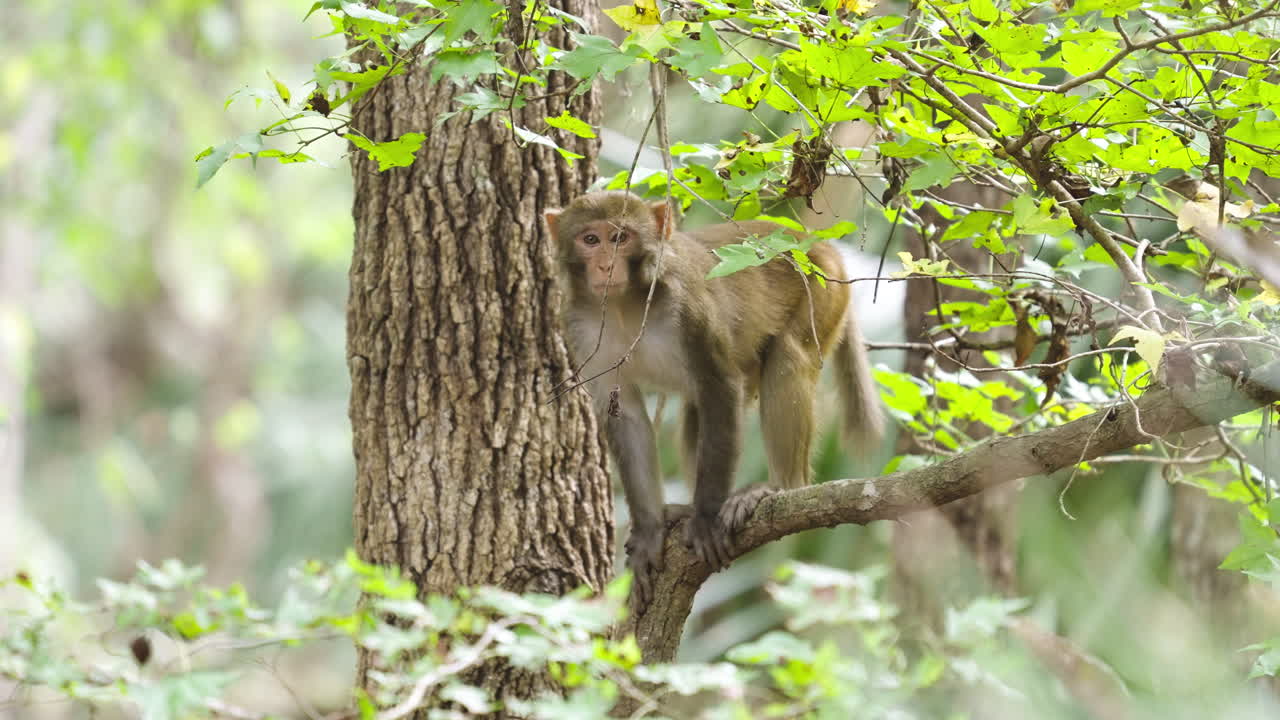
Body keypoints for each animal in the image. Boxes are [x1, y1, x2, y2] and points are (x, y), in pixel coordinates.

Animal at [544, 191, 883, 609]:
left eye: (620, 238)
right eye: (590, 239)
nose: (605, 265)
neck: (625, 306)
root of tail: (817, 242)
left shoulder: (691, 310)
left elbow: (720, 390)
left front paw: (706, 519)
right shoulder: (579, 325)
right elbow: (626, 416)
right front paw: (650, 531)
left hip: (822, 292)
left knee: (786, 355)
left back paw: (782, 486)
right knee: (695, 408)